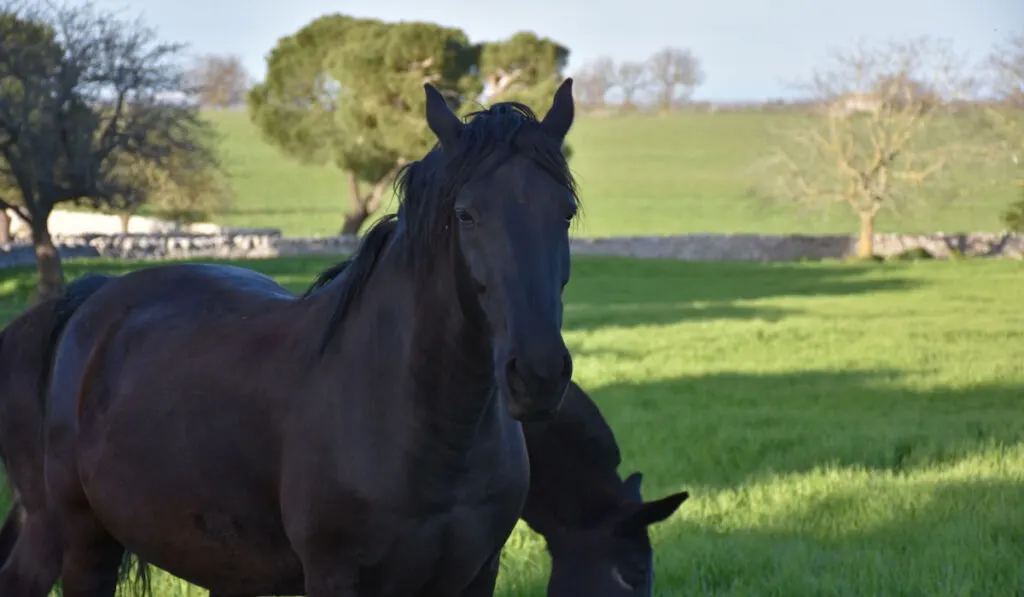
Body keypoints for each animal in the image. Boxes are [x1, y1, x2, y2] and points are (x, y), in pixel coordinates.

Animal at [0, 80, 581, 597]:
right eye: (465, 215)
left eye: (566, 213)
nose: (538, 374)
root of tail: (89, 300)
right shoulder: (336, 577)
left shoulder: (475, 576)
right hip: (79, 541)